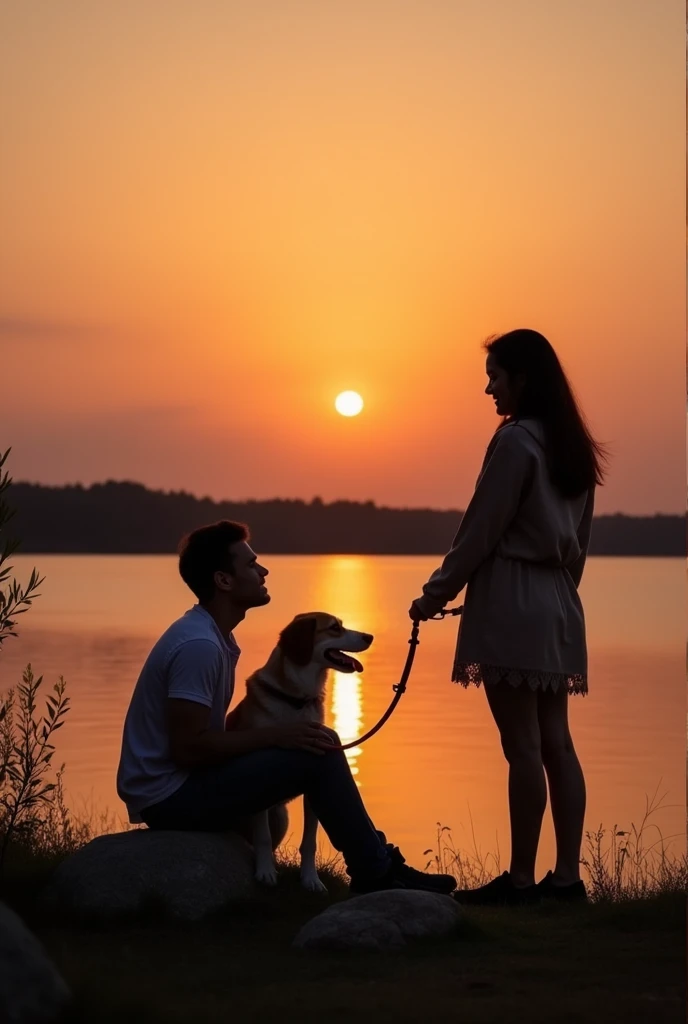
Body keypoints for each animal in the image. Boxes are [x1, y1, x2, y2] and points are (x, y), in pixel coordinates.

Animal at [228, 610, 372, 892]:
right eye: (334, 628)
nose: (369, 636)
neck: (296, 701)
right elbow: (262, 837)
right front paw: (265, 873)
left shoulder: (315, 778)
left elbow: (309, 841)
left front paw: (310, 879)